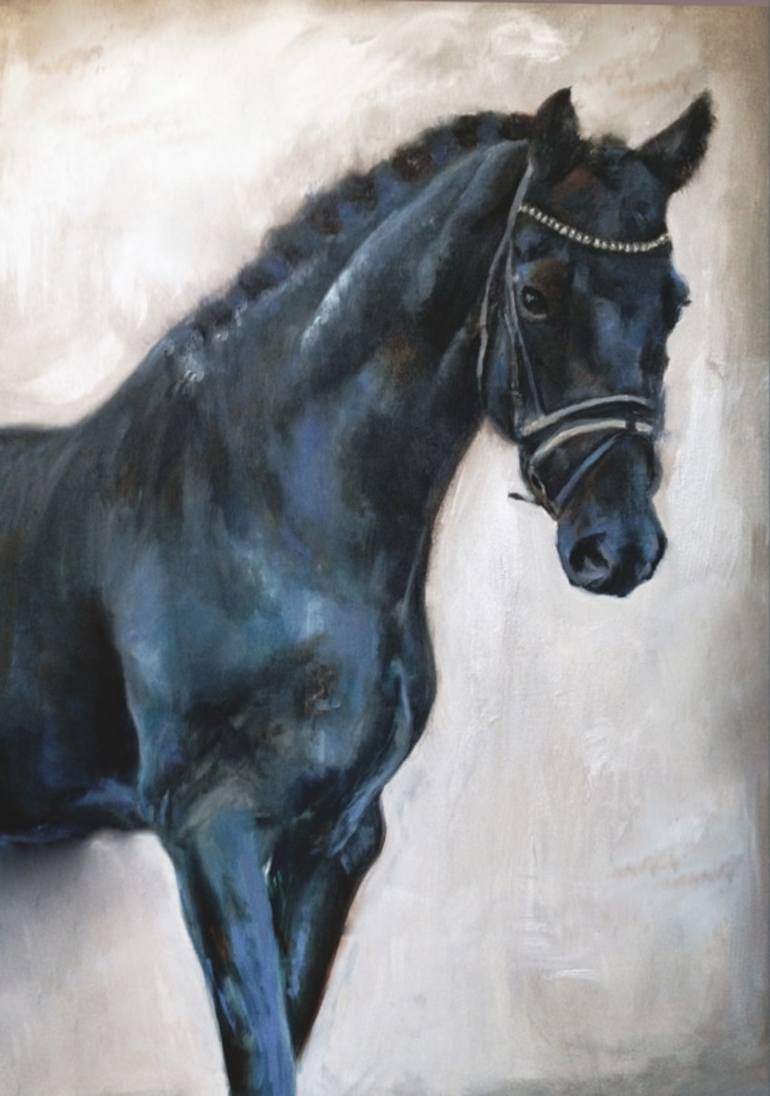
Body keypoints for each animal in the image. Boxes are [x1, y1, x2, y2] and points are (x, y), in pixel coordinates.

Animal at [0, 87, 713, 1095]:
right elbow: (261, 1051)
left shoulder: (334, 845)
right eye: (535, 294)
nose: (618, 546)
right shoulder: (211, 835)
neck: (269, 511)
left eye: (675, 304)